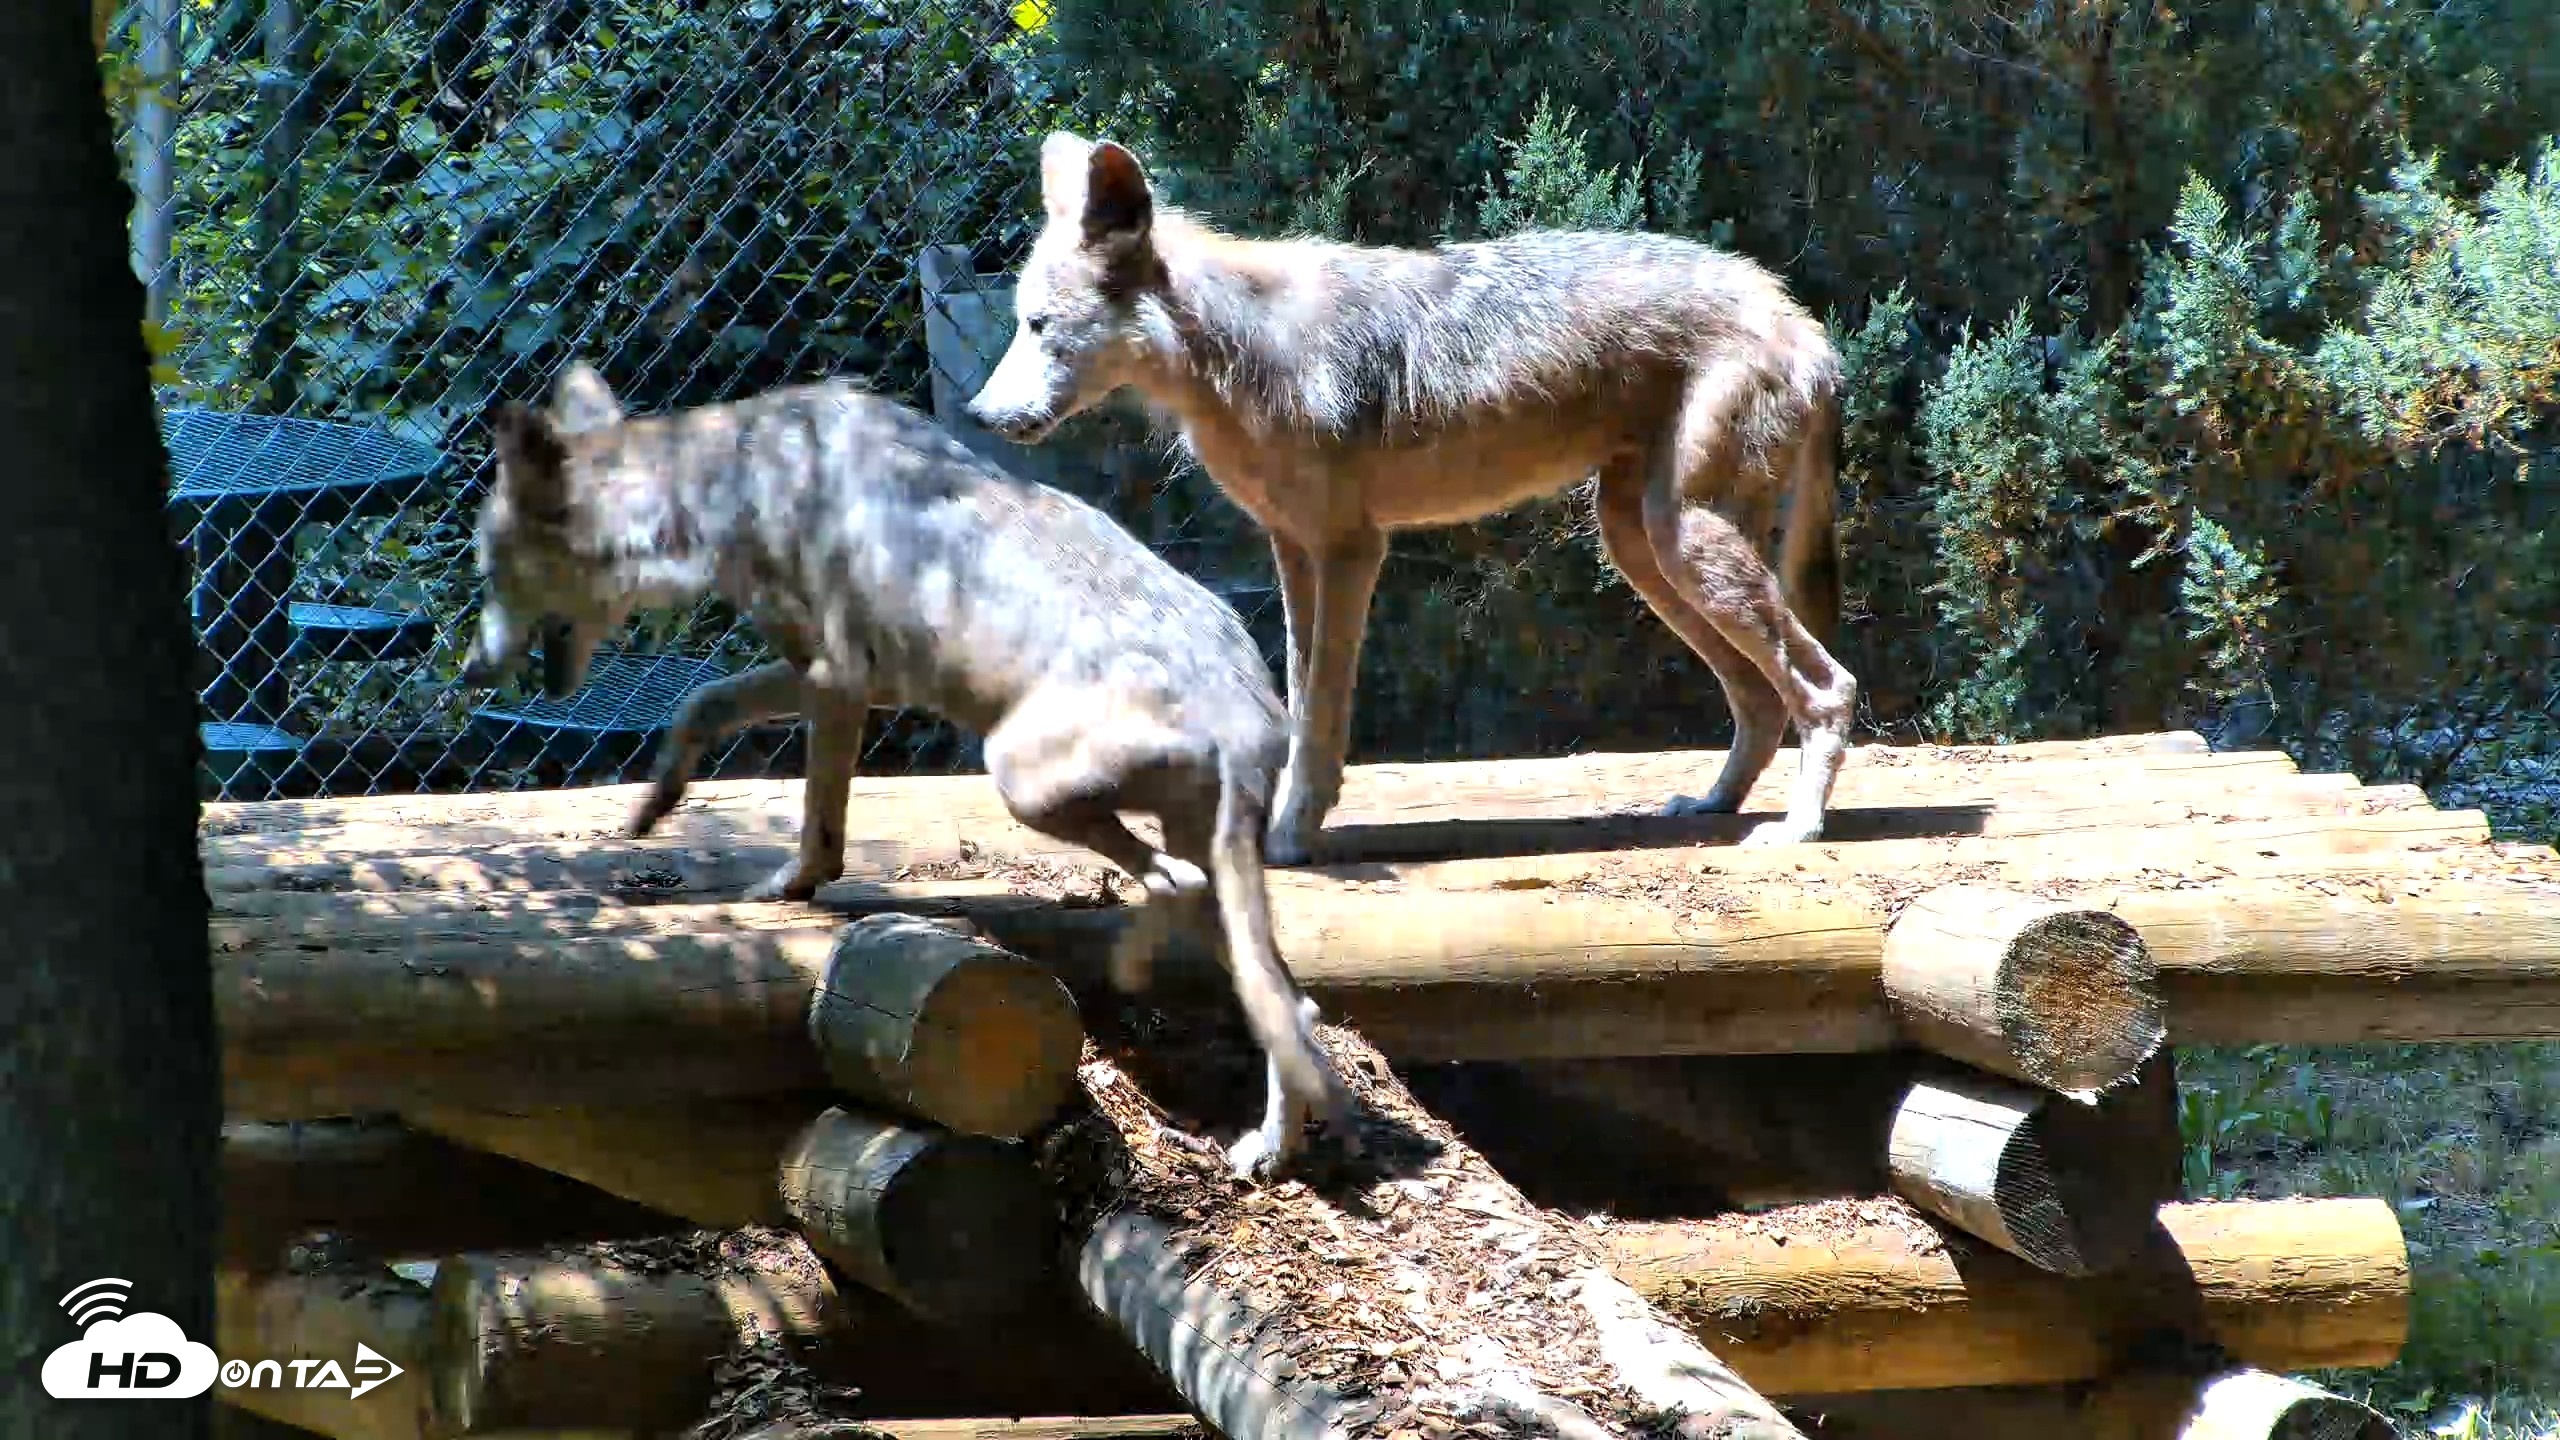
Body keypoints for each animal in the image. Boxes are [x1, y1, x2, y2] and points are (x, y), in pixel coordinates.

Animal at [460, 361, 1356, 1181]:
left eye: (489, 571)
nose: (470, 669)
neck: (717, 486)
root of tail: (1240, 704)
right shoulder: (844, 679)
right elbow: (704, 705)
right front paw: (654, 806)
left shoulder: (835, 677)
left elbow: (806, 815)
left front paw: (783, 885)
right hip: (1198, 853)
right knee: (1289, 1001)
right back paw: (1272, 1148)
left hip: (1020, 779)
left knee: (1177, 888)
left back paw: (1138, 975)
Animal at [963, 132, 1859, 867]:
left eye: (1040, 326)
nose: (977, 415)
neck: (1231, 348)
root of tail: (1806, 324)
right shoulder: (1294, 551)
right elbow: (1300, 707)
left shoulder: (1352, 550)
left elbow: (1321, 715)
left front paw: (1291, 840)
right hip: (1642, 547)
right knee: (1759, 699)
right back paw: (1712, 804)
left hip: (1683, 542)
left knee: (1827, 688)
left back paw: (1798, 829)